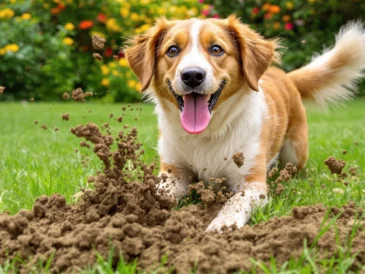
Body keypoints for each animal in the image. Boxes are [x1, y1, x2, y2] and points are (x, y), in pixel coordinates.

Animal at [125, 15, 364, 231]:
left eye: (216, 49)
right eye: (172, 50)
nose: (192, 75)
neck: (207, 134)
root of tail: (285, 76)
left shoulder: (251, 183)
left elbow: (235, 201)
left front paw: (223, 224)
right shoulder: (173, 171)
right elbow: (159, 192)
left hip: (295, 152)